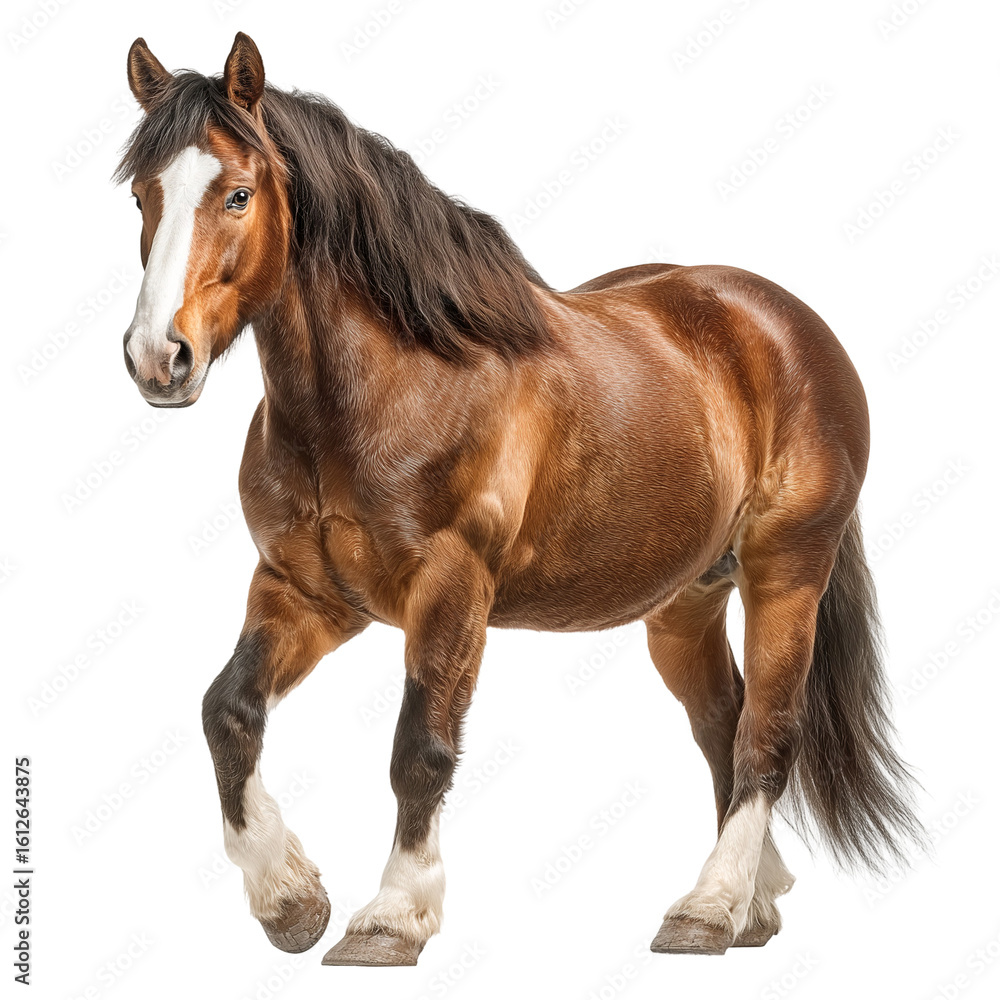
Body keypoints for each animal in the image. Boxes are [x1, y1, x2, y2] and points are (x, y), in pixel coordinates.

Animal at [115, 33, 920, 966]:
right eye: (142, 193)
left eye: (238, 193)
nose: (157, 358)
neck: (384, 390)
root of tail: (788, 324)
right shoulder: (308, 592)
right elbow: (228, 713)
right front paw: (288, 898)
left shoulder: (452, 590)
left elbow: (421, 749)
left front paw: (392, 914)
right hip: (686, 604)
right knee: (723, 727)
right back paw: (750, 902)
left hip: (786, 572)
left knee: (765, 736)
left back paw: (710, 907)